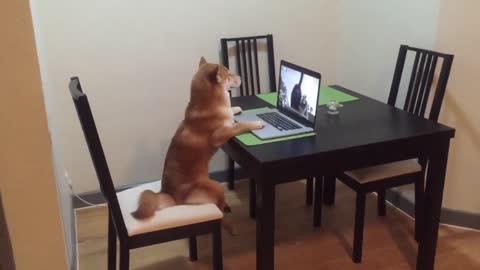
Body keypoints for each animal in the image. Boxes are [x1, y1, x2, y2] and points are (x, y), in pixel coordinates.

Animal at [131, 56, 264, 234]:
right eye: (229, 74)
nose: (241, 77)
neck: (208, 105)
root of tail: (170, 196)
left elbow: (230, 113)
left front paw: (235, 108)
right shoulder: (219, 135)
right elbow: (239, 126)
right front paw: (255, 123)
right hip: (216, 186)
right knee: (219, 211)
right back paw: (230, 226)